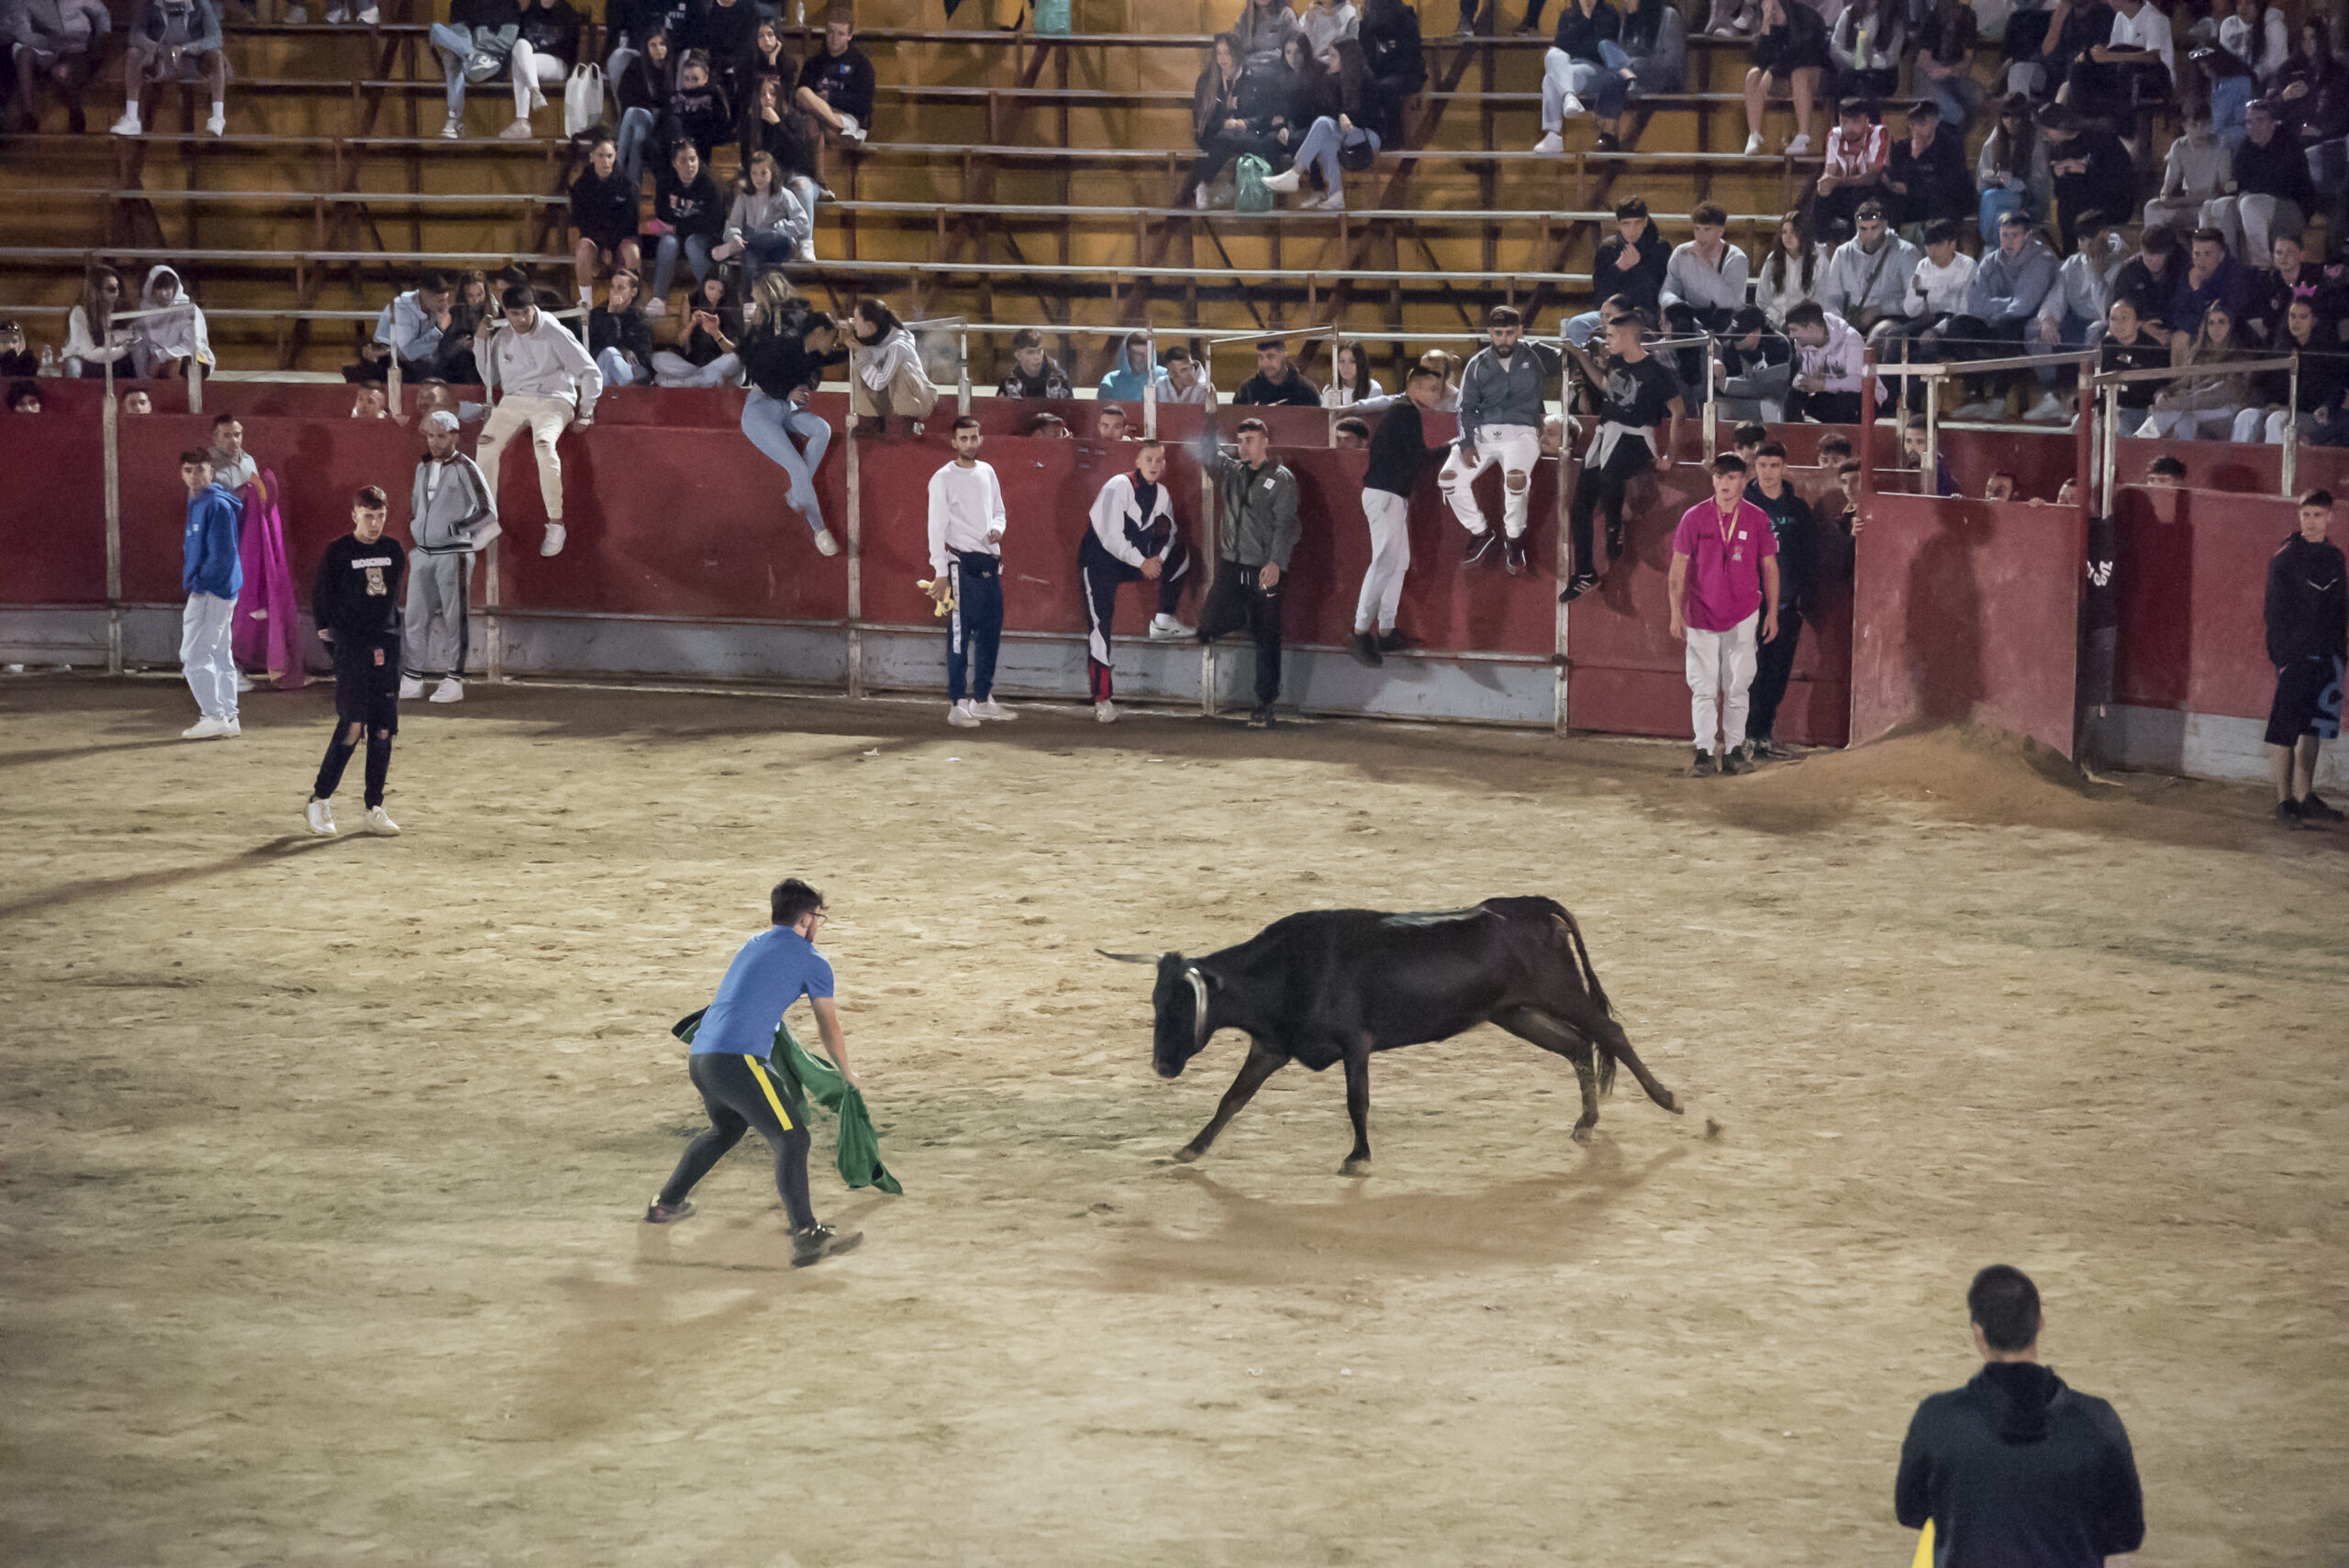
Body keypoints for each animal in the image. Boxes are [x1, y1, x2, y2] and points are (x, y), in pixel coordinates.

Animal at [1104, 901, 1681, 1169]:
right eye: (1156, 1003)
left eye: (1182, 1007)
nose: (1161, 1066)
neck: (1286, 969)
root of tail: (1532, 905)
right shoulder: (1270, 1047)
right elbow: (1232, 1099)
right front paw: (1191, 1148)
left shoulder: (1355, 1044)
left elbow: (1356, 1101)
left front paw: (1358, 1157)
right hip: (1516, 1013)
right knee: (1577, 1046)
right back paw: (1585, 1123)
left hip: (1561, 993)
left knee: (1611, 1033)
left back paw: (1669, 1100)